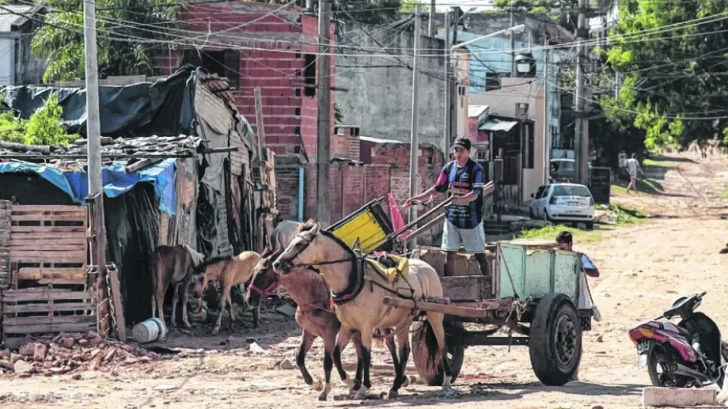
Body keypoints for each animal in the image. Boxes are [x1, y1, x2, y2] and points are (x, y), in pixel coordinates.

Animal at [249, 247, 398, 400]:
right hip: (356, 330)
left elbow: (327, 362)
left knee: (391, 346)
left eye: (262, 271)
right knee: (360, 354)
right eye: (253, 270)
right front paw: (314, 383)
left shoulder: (329, 334)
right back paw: (357, 383)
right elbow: (299, 357)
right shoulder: (309, 333)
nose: (250, 299)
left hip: (381, 325)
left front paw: (326, 390)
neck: (313, 296)